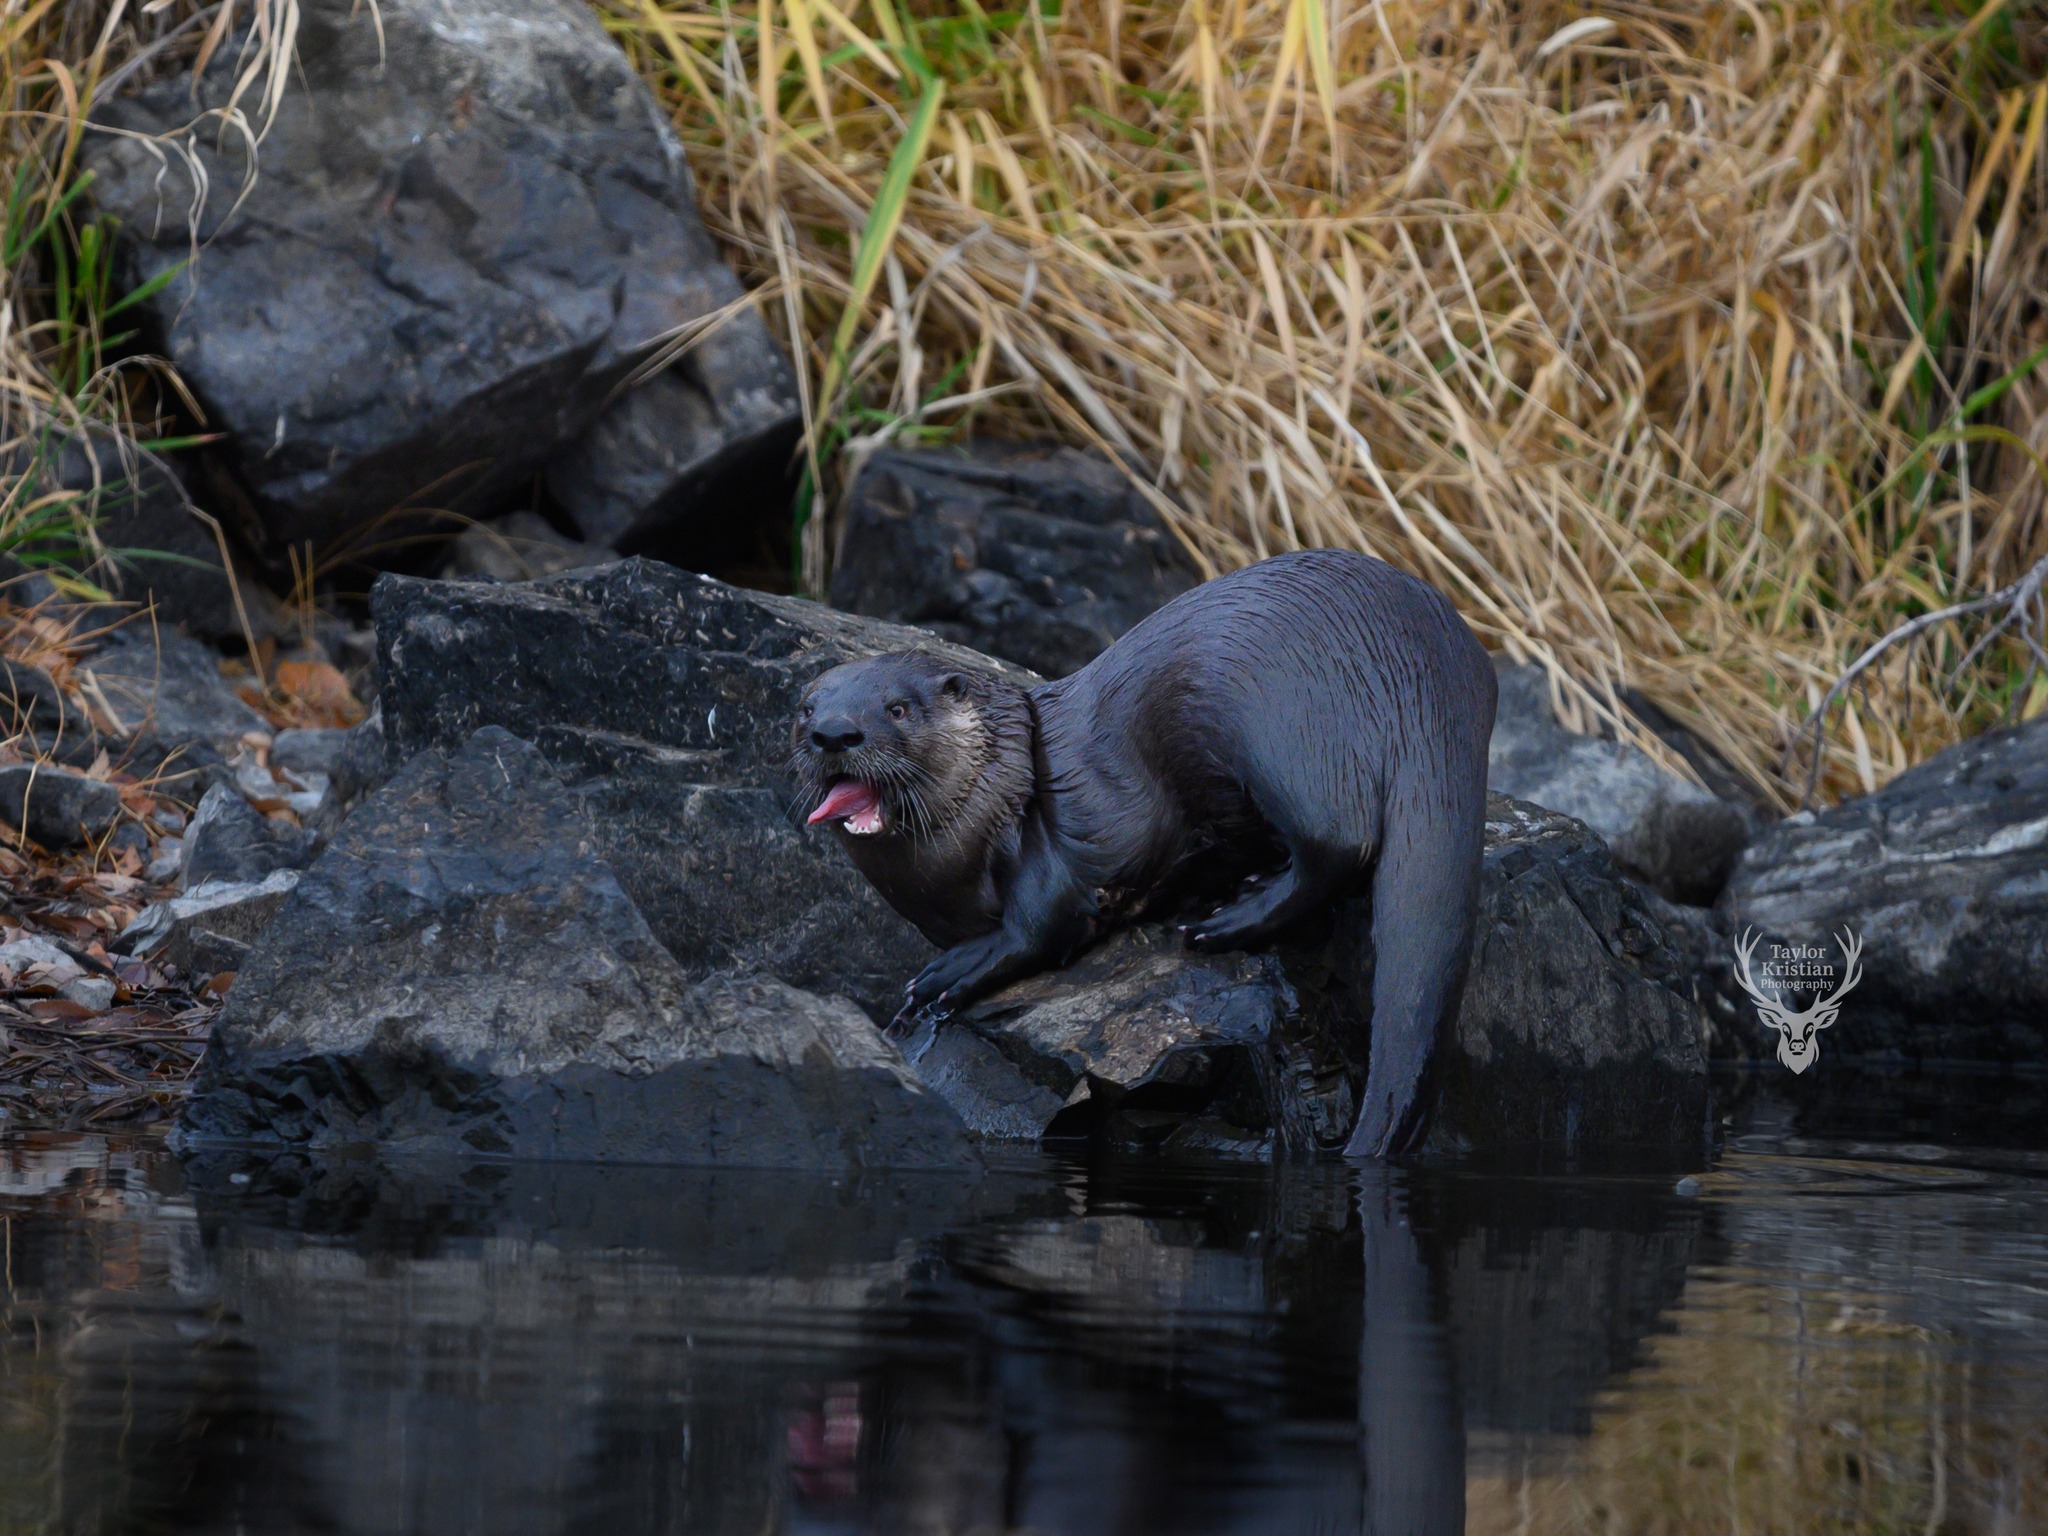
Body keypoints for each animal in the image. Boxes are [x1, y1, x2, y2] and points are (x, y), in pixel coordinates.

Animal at [790, 549, 1496, 1156]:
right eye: (804, 708)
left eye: (897, 708)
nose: (834, 733)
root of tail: (1429, 662)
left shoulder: (1048, 852)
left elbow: (1041, 927)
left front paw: (943, 977)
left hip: (1275, 720)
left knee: (1340, 841)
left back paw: (1226, 920)